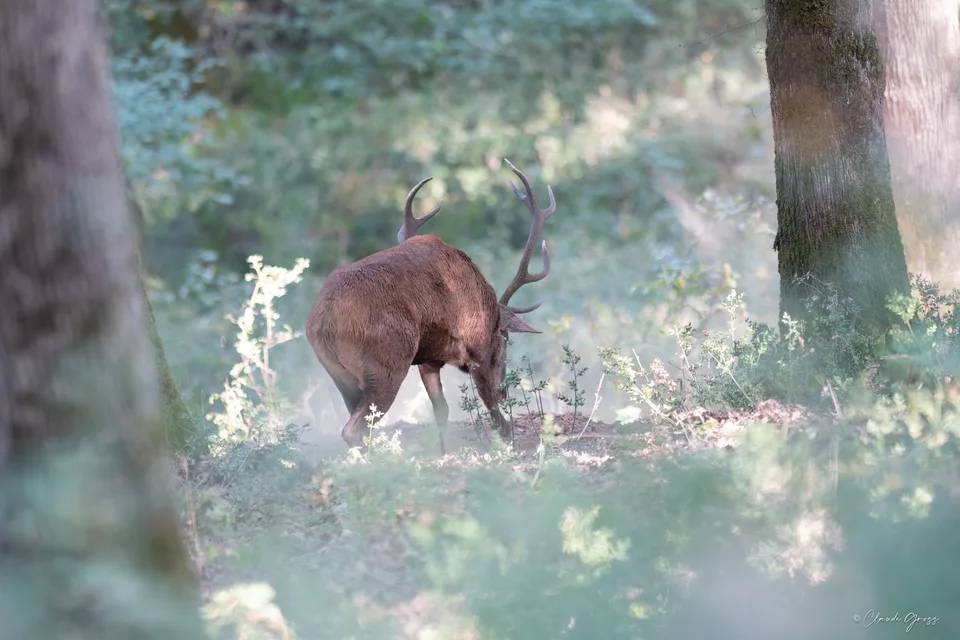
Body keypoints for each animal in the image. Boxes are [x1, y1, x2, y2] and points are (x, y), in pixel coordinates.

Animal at [306, 159, 556, 451]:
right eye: (504, 339)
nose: (505, 389)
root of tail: (324, 322)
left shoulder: (430, 360)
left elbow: (441, 411)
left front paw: (443, 451)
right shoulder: (477, 346)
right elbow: (492, 409)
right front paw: (506, 443)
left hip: (339, 375)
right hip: (387, 363)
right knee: (354, 428)